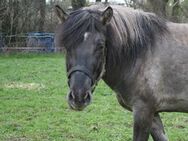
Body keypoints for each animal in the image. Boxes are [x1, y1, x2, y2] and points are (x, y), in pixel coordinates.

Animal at [54, 4, 188, 141]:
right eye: (67, 46)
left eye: (101, 46)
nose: (78, 96)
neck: (142, 53)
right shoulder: (153, 114)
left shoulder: (143, 111)